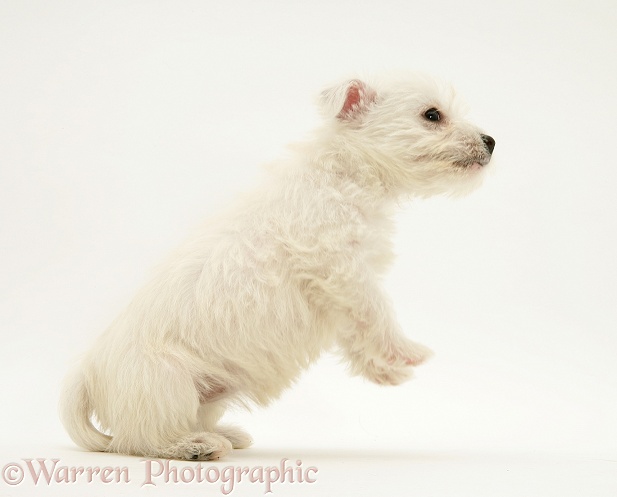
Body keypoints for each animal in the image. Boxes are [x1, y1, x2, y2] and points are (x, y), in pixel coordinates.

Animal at [61, 71, 496, 460]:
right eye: (432, 115)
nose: (492, 141)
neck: (344, 172)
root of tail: (86, 375)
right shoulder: (342, 269)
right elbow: (377, 311)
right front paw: (406, 353)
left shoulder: (339, 290)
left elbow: (357, 331)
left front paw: (384, 371)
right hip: (166, 382)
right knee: (139, 440)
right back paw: (195, 446)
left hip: (203, 396)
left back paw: (223, 434)